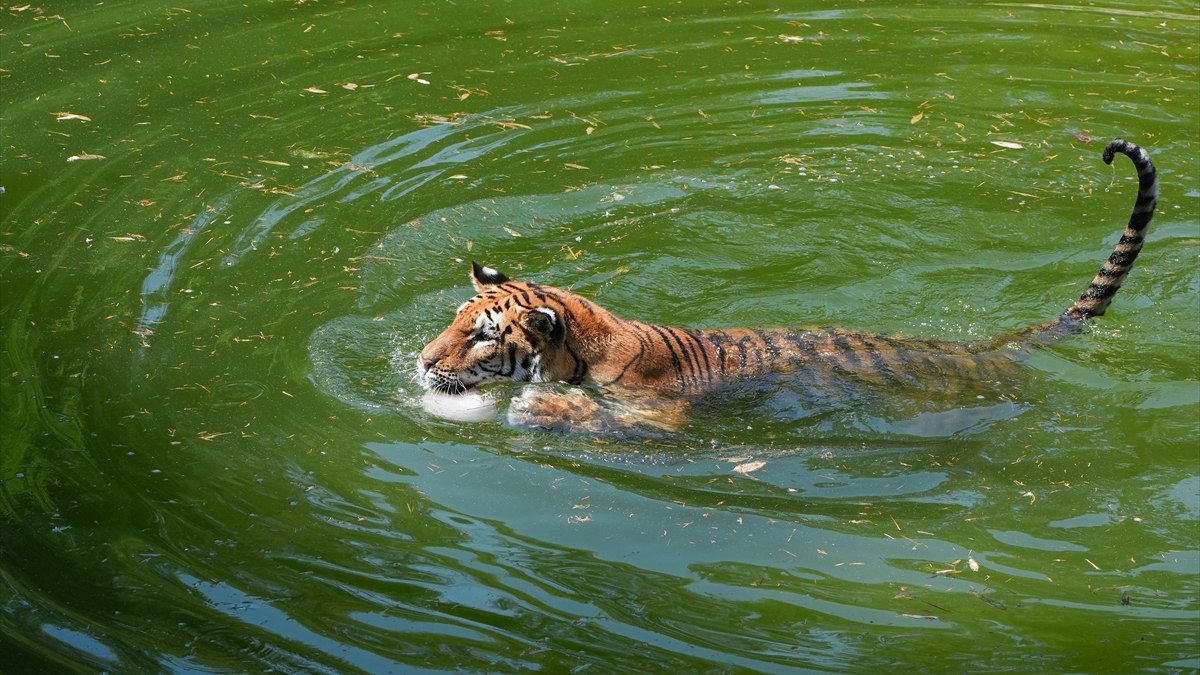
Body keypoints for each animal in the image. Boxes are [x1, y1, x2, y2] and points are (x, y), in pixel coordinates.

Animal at [417, 138, 1156, 429]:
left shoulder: (662, 415)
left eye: (482, 337)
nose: (422, 363)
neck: (589, 341)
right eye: (454, 320)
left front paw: (544, 411)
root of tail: (984, 350)